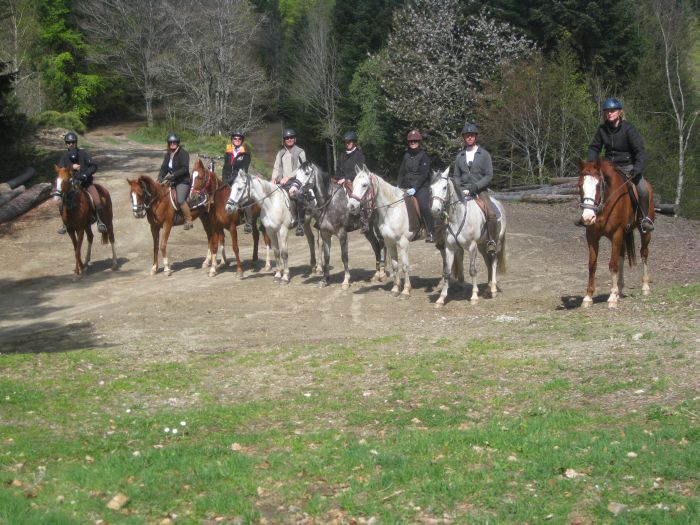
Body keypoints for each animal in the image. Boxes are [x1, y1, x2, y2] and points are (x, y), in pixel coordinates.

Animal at [348, 166, 418, 294]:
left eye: (364, 185)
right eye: (353, 184)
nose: (351, 206)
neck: (392, 210)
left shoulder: (403, 243)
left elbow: (405, 266)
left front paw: (406, 290)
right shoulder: (389, 242)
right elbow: (395, 265)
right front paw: (395, 288)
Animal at [430, 168, 506, 308]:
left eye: (444, 187)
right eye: (431, 188)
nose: (435, 210)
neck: (457, 217)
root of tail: (498, 204)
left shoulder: (472, 247)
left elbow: (472, 270)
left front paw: (474, 296)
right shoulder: (449, 248)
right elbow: (447, 272)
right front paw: (441, 299)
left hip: (495, 243)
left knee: (494, 261)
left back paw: (493, 289)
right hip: (482, 245)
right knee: (488, 262)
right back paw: (488, 288)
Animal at [576, 159, 652, 308]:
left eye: (598, 186)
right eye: (580, 185)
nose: (587, 218)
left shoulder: (616, 234)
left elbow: (612, 265)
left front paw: (612, 297)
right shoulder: (592, 237)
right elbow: (592, 265)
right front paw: (588, 297)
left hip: (644, 232)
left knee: (644, 254)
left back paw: (645, 287)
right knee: (621, 256)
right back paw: (619, 290)